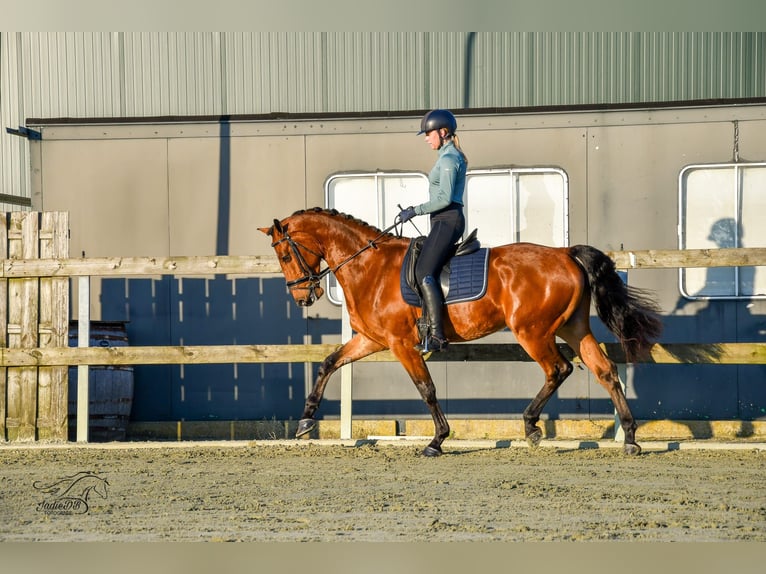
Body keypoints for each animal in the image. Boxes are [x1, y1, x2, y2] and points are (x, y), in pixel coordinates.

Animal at [260, 209, 664, 456]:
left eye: (285, 255)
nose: (302, 297)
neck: (368, 266)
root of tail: (565, 253)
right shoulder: (371, 340)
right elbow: (329, 362)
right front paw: (306, 419)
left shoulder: (401, 344)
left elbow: (426, 388)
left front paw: (437, 440)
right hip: (572, 327)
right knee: (604, 371)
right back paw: (630, 438)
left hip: (532, 331)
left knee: (558, 369)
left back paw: (531, 426)